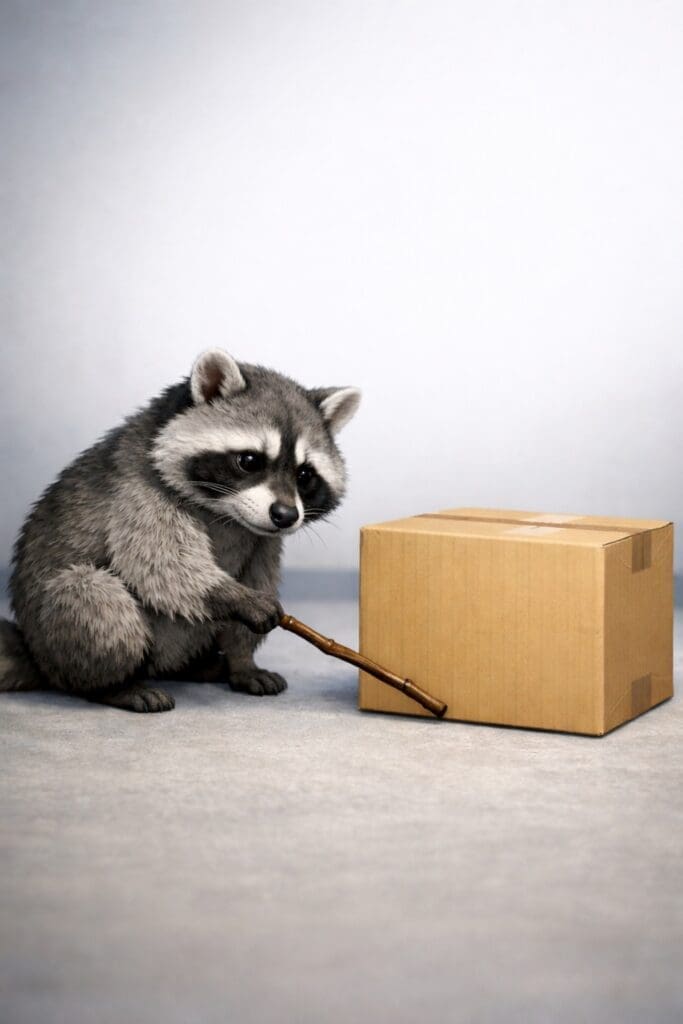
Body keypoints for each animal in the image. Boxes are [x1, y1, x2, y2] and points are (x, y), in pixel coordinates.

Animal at [0, 349, 360, 712]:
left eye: (305, 475)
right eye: (249, 460)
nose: (286, 516)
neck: (228, 515)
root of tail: (36, 656)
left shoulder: (262, 540)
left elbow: (259, 579)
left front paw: (243, 660)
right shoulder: (135, 491)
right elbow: (162, 567)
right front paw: (234, 596)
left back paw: (204, 666)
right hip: (57, 640)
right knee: (92, 595)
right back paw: (113, 684)